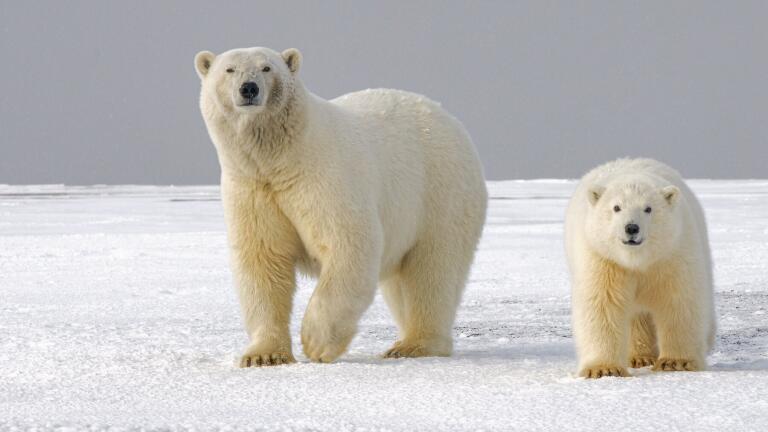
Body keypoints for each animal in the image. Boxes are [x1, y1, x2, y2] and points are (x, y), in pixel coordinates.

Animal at [194, 47, 487, 366]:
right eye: (229, 69)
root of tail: (449, 118)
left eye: (267, 68)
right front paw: (263, 355)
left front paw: (316, 342)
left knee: (432, 269)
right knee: (402, 282)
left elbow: (348, 243)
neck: (282, 158)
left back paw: (414, 345)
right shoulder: (252, 188)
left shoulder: (324, 177)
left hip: (439, 192)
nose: (249, 88)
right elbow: (263, 260)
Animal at [564, 158, 715, 378]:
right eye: (616, 207)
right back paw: (640, 357)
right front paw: (604, 369)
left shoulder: (672, 254)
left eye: (648, 208)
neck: (637, 260)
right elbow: (602, 304)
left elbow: (679, 300)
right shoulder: (603, 259)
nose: (631, 228)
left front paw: (676, 362)